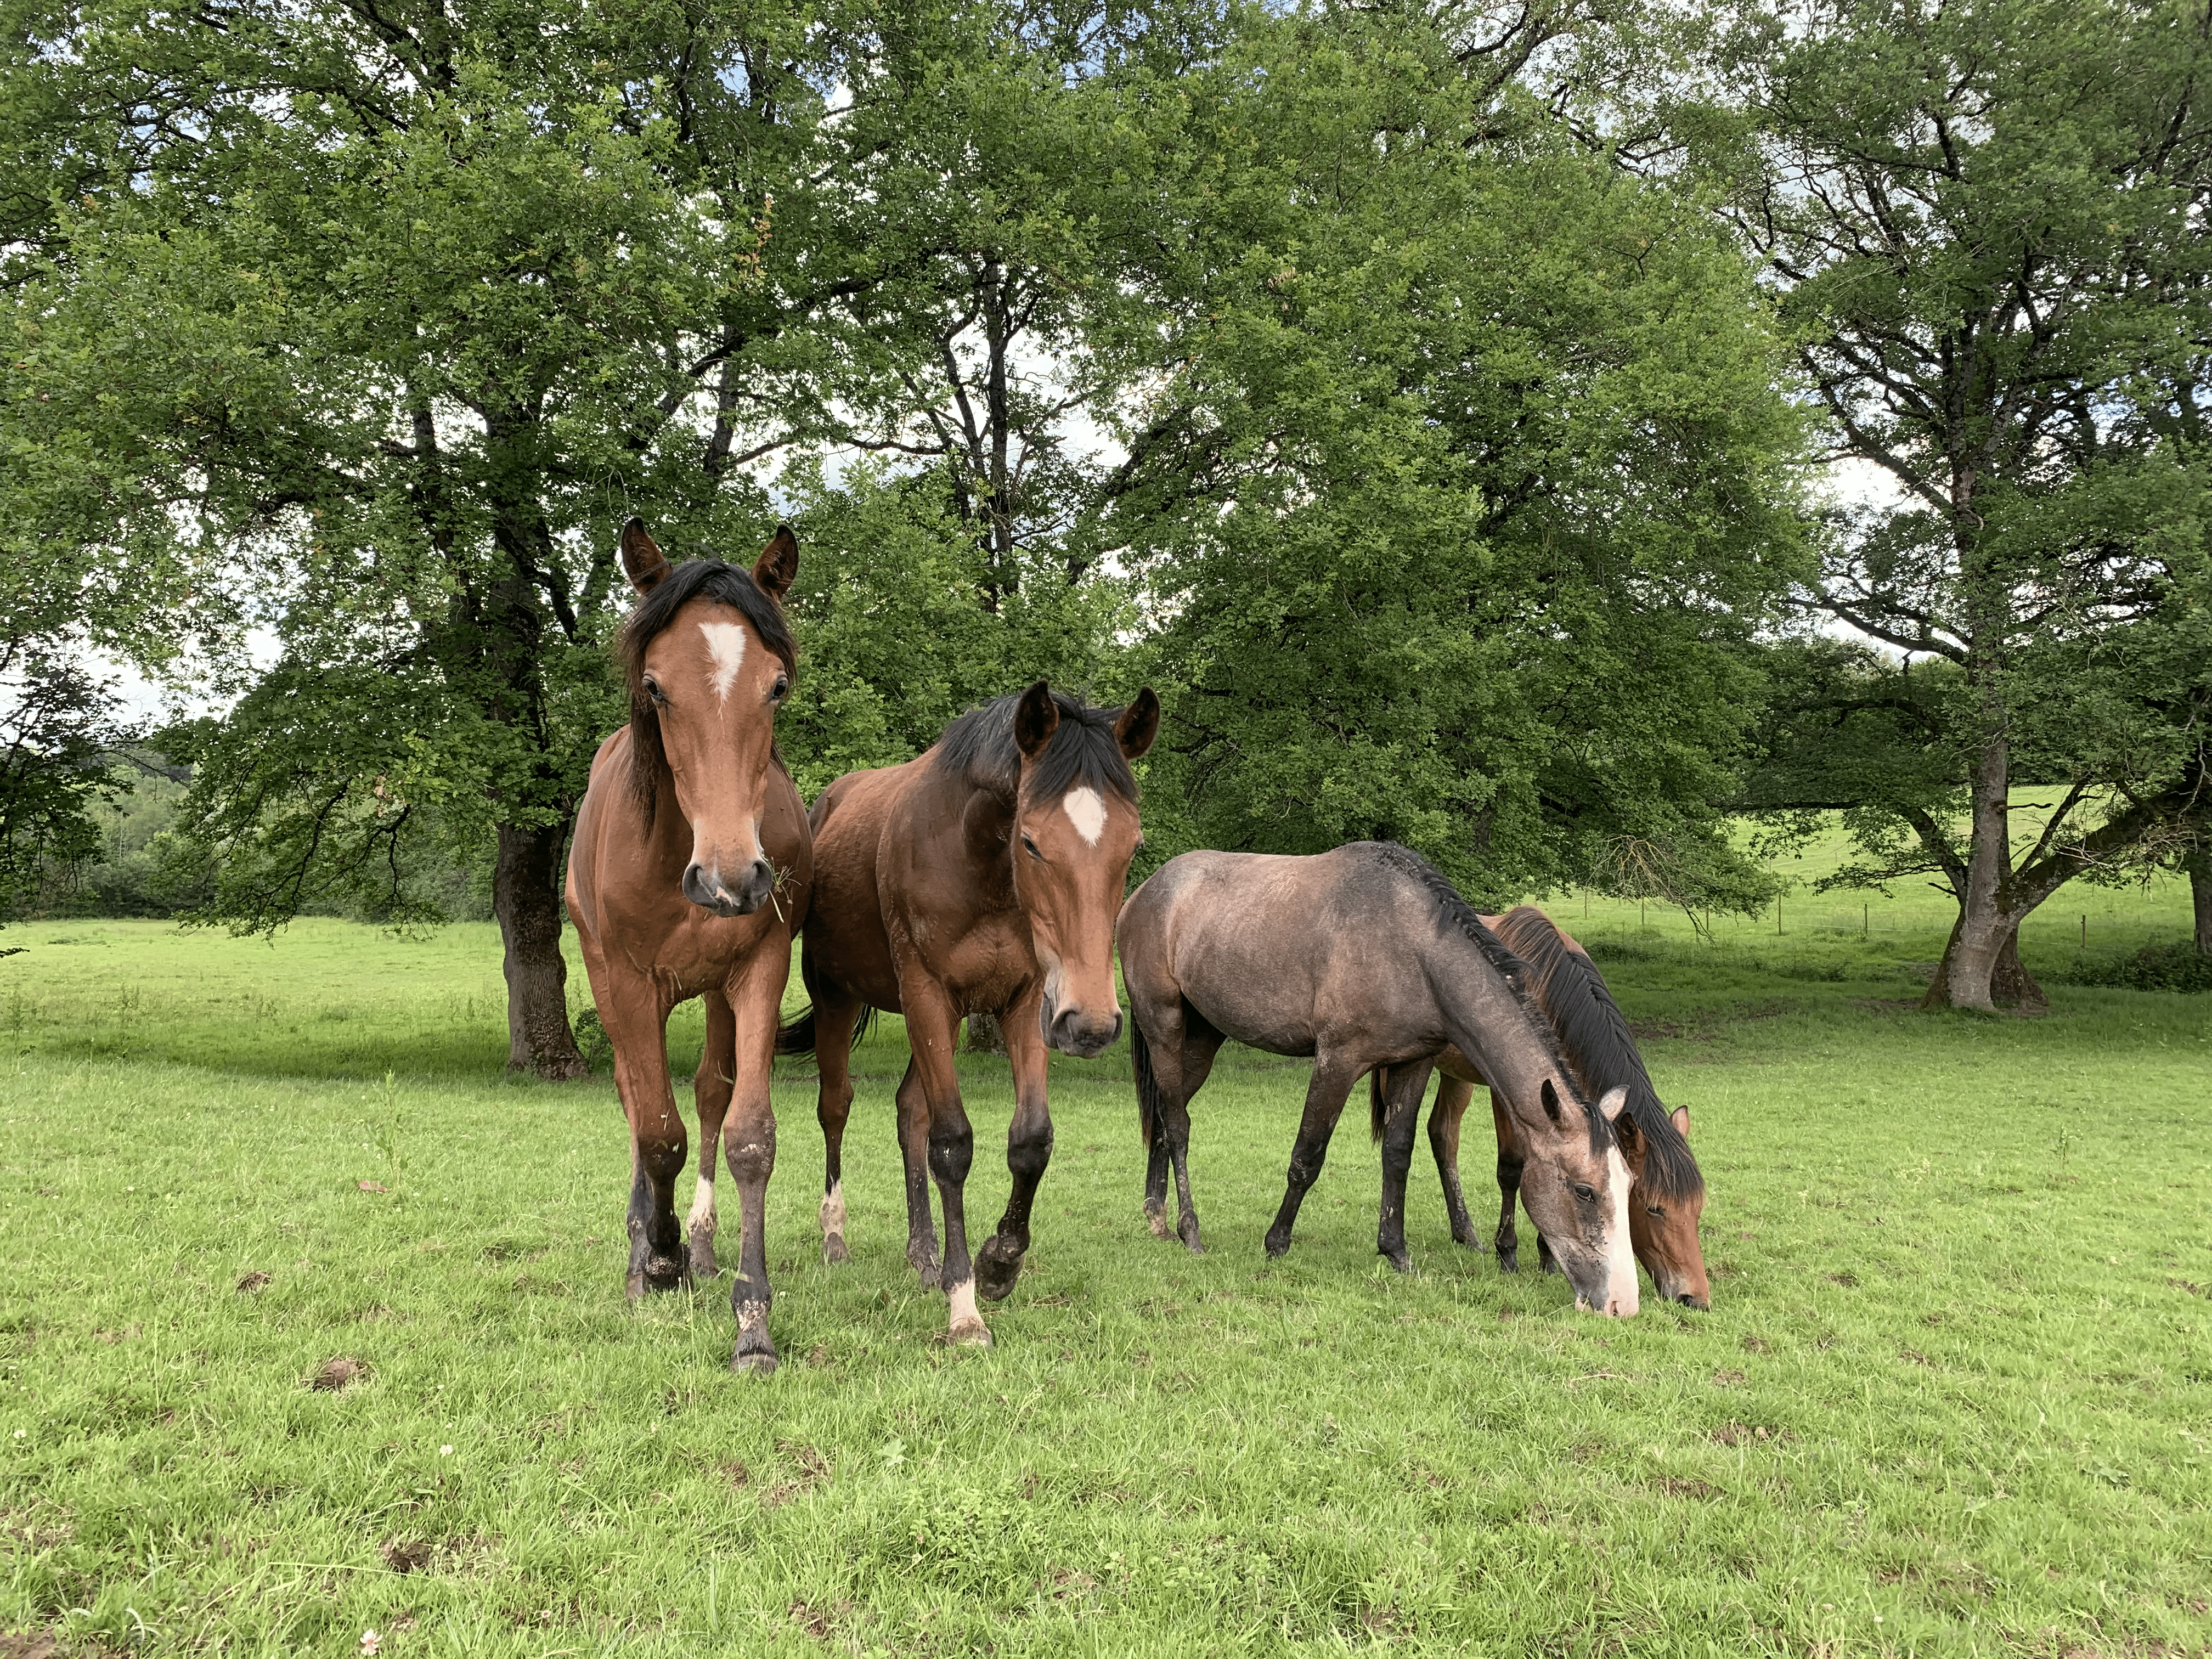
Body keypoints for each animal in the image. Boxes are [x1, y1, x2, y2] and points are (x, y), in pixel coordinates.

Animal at [566, 520, 818, 1380]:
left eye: (777, 687)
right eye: (655, 687)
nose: (730, 878)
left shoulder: (760, 971)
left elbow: (744, 1135)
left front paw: (753, 1323)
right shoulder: (628, 982)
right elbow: (658, 1133)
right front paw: (660, 1254)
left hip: (712, 989)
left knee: (709, 1093)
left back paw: (702, 1251)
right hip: (612, 984)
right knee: (636, 1100)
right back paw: (647, 1251)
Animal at [774, 681, 1159, 1345]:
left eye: (1131, 845)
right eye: (1030, 841)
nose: (1092, 1023)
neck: (978, 866)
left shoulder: (1027, 1002)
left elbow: (1030, 1140)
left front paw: (999, 1263)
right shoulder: (928, 993)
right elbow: (952, 1145)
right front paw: (964, 1303)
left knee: (909, 1110)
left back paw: (923, 1253)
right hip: (839, 998)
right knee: (836, 1107)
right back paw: (835, 1236)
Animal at [1124, 849, 1645, 1318]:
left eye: (1630, 1185)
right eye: (1584, 1191)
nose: (1622, 1303)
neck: (1414, 953)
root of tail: (1146, 892)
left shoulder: (1414, 1063)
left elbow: (1398, 1154)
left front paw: (1395, 1250)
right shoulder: (1337, 1061)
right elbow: (1307, 1157)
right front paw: (1276, 1243)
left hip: (1203, 1037)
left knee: (1167, 1118)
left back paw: (1156, 1215)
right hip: (1165, 1028)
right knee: (1178, 1125)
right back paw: (1189, 1231)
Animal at [1362, 911, 1707, 1309]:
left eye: (1697, 1207)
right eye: (1654, 1208)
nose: (1695, 1297)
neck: (1546, 987)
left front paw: (1547, 1255)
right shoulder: (1509, 1095)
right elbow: (1511, 1169)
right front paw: (1508, 1252)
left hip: (1456, 1076)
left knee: (1444, 1135)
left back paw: (1466, 1234)